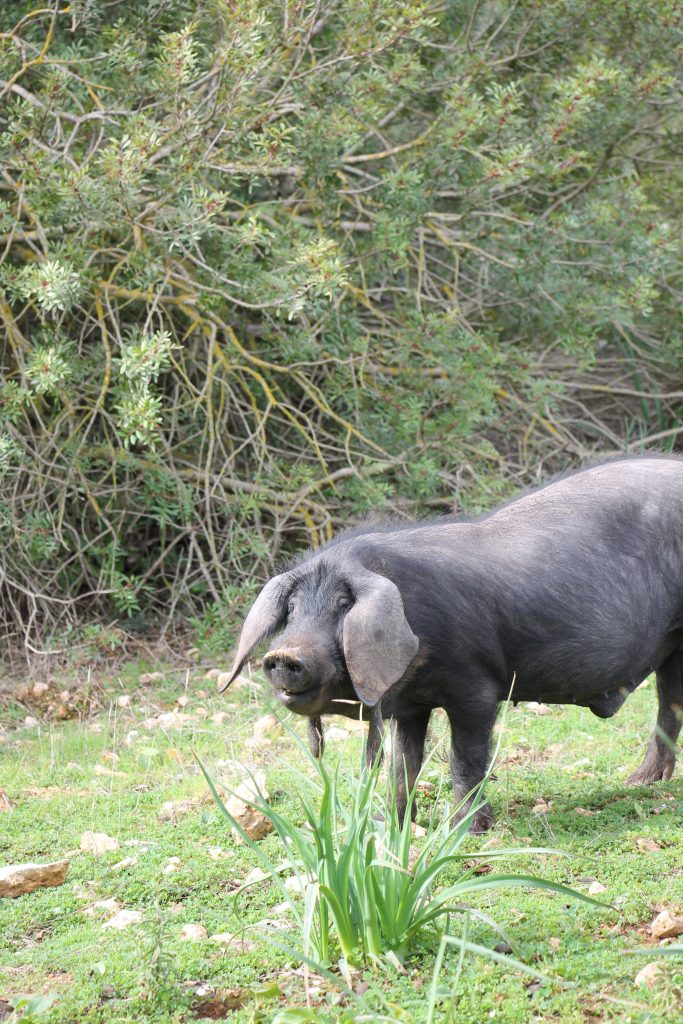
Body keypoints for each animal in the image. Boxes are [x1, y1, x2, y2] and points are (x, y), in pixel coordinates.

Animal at [220, 458, 683, 831]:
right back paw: (640, 781)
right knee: (669, 704)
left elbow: (466, 759)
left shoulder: (477, 687)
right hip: (671, 647)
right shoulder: (410, 705)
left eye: (343, 607)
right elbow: (403, 766)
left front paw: (465, 831)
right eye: (293, 609)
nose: (284, 655)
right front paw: (396, 826)